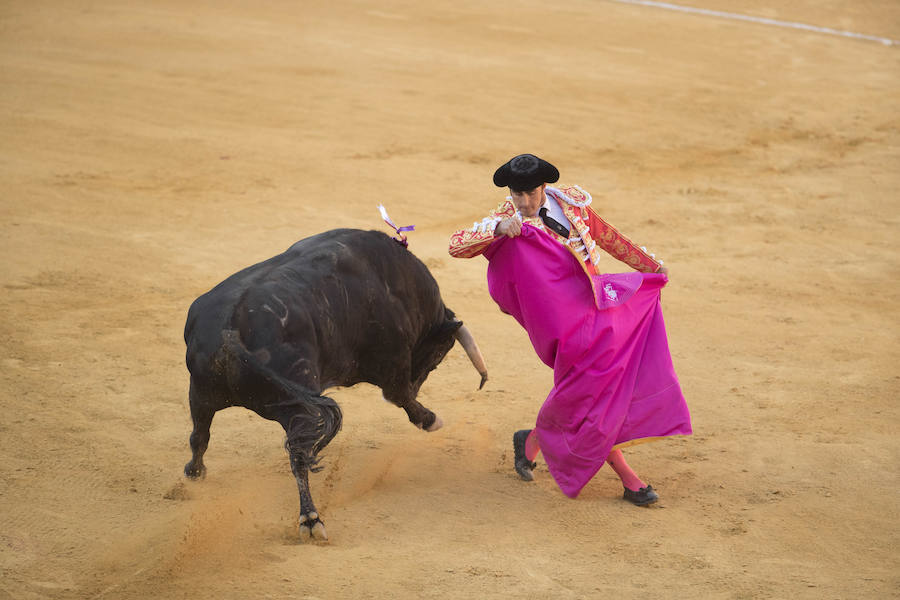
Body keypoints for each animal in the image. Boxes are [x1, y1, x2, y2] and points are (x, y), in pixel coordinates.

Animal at [183, 227, 488, 540]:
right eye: (440, 354)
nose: (419, 382)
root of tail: (230, 330)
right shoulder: (393, 361)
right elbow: (400, 395)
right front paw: (430, 420)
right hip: (298, 409)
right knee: (299, 457)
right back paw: (311, 519)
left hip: (201, 393)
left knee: (199, 436)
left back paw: (193, 474)